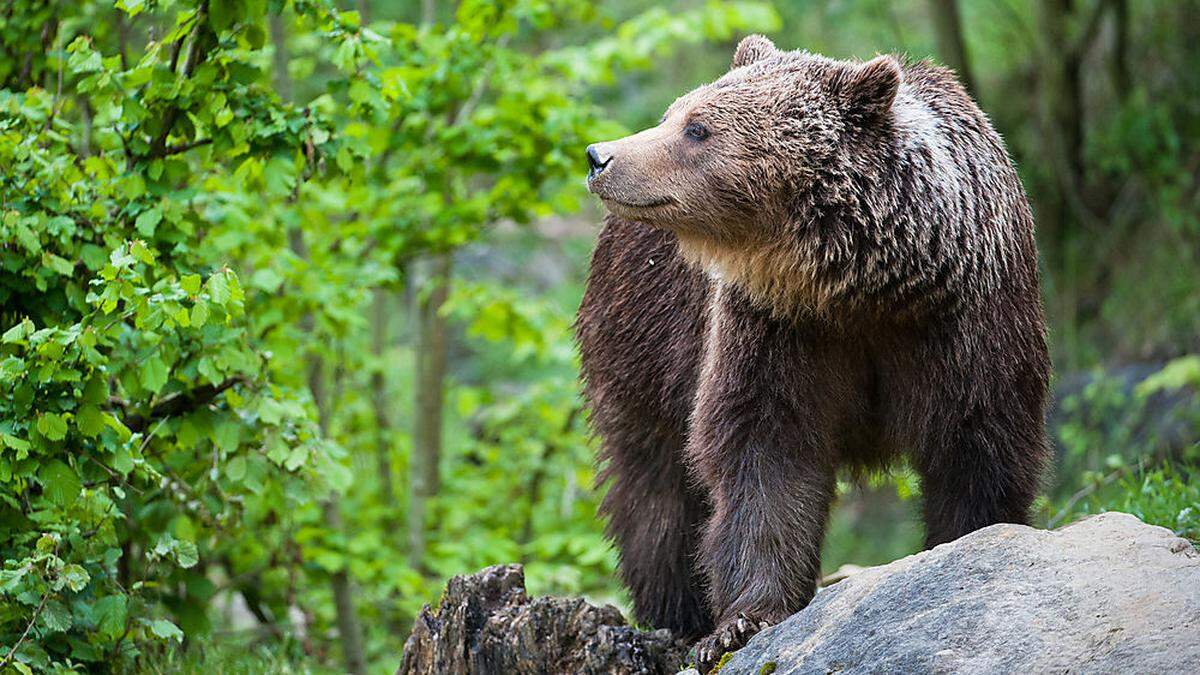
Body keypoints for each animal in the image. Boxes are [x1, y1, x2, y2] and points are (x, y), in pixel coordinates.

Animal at [573, 34, 1051, 662]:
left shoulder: (968, 321)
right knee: (655, 487)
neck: (866, 288)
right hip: (642, 342)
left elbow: (976, 443)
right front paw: (742, 620)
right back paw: (679, 612)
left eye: (697, 127)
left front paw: (969, 544)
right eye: (675, 113)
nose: (599, 155)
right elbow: (766, 452)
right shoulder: (775, 328)